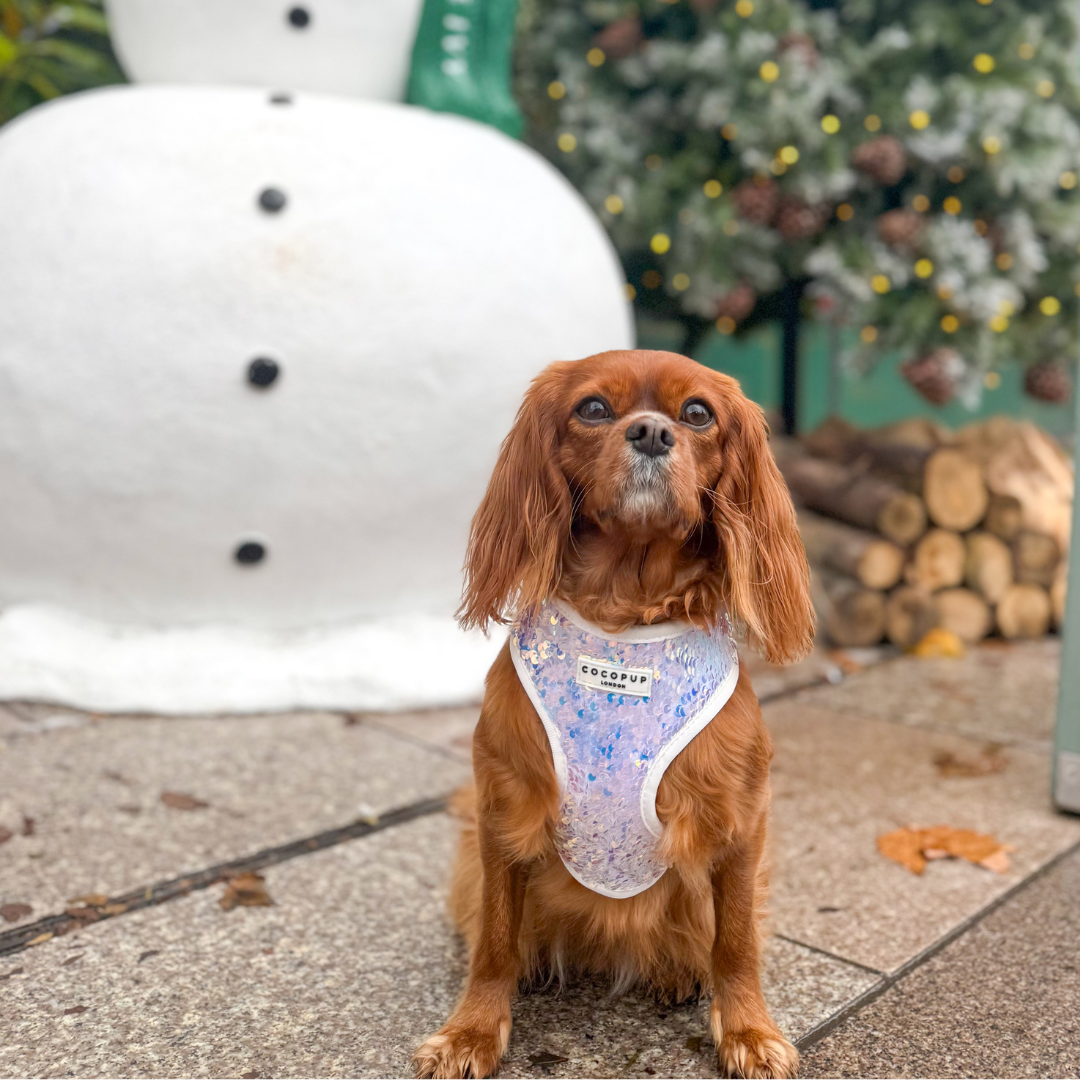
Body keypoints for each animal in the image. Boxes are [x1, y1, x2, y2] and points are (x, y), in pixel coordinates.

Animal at [412, 349, 812, 1075]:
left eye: (698, 413)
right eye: (593, 408)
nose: (652, 432)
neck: (625, 614)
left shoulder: (740, 823)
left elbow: (736, 941)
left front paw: (748, 1030)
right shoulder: (501, 813)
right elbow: (495, 939)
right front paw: (471, 1032)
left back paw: (676, 973)